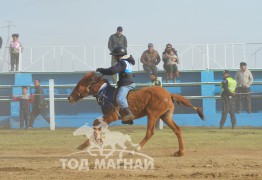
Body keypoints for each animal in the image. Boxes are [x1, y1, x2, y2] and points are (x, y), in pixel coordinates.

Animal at [68, 71, 204, 156]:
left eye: (79, 85)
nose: (70, 98)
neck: (105, 93)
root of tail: (169, 94)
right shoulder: (106, 117)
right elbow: (97, 125)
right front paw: (90, 143)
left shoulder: (112, 116)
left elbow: (96, 123)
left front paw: (90, 143)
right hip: (165, 116)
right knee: (177, 130)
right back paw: (180, 152)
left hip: (153, 115)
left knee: (150, 132)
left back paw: (135, 149)